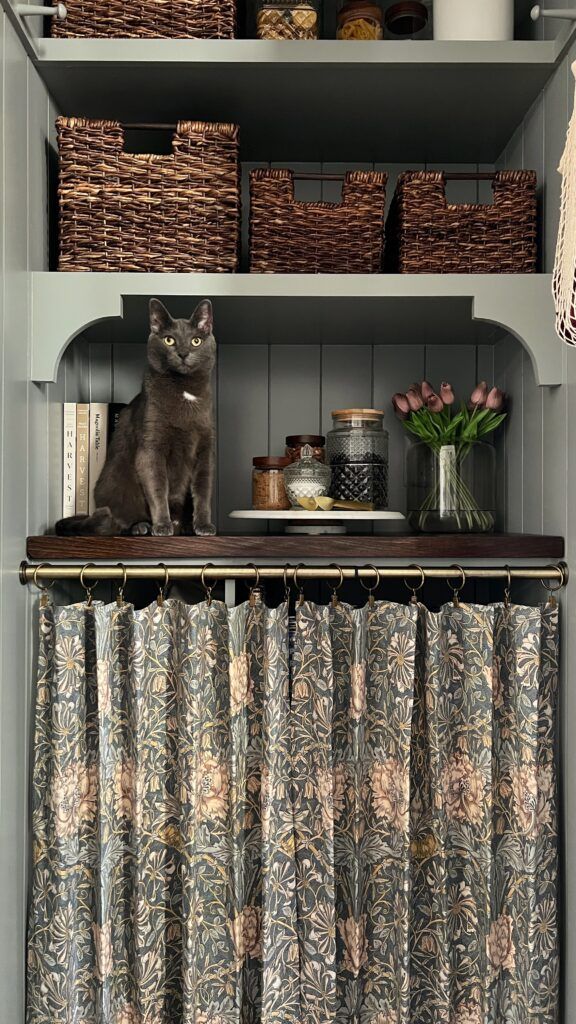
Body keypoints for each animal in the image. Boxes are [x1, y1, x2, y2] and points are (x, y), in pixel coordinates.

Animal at [55, 296, 215, 536]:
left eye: (196, 341)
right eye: (169, 340)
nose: (183, 353)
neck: (184, 389)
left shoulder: (205, 448)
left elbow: (203, 490)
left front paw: (203, 526)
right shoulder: (151, 447)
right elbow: (158, 488)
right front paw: (162, 526)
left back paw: (182, 525)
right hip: (114, 481)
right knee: (118, 521)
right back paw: (142, 526)